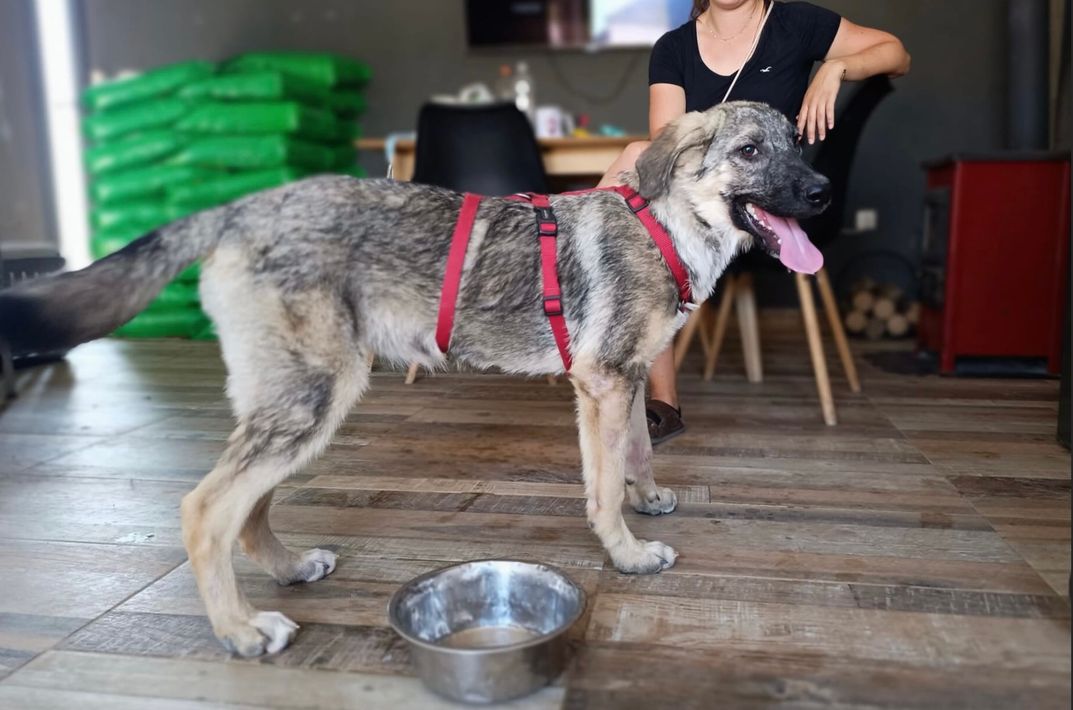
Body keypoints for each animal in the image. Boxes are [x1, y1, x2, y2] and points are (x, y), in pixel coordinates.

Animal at [0, 101, 830, 656]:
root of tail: (240, 209)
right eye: (749, 151)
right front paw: (625, 554)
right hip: (315, 395)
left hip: (297, 399)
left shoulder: (621, 381)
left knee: (247, 503)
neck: (669, 223)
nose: (823, 192)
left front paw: (647, 498)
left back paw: (290, 568)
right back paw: (239, 629)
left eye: (797, 143)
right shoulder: (601, 383)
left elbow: (638, 451)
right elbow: (601, 488)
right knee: (207, 509)